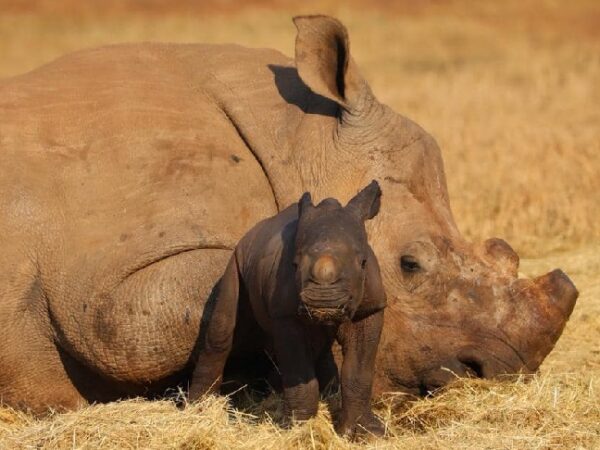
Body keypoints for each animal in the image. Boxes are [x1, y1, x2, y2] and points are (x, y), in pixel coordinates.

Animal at [190, 181, 386, 438]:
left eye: (363, 263)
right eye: (294, 264)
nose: (323, 301)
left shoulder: (370, 308)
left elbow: (359, 370)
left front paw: (366, 433)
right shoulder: (286, 313)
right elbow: (298, 371)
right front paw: (297, 429)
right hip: (236, 259)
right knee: (223, 329)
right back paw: (198, 411)